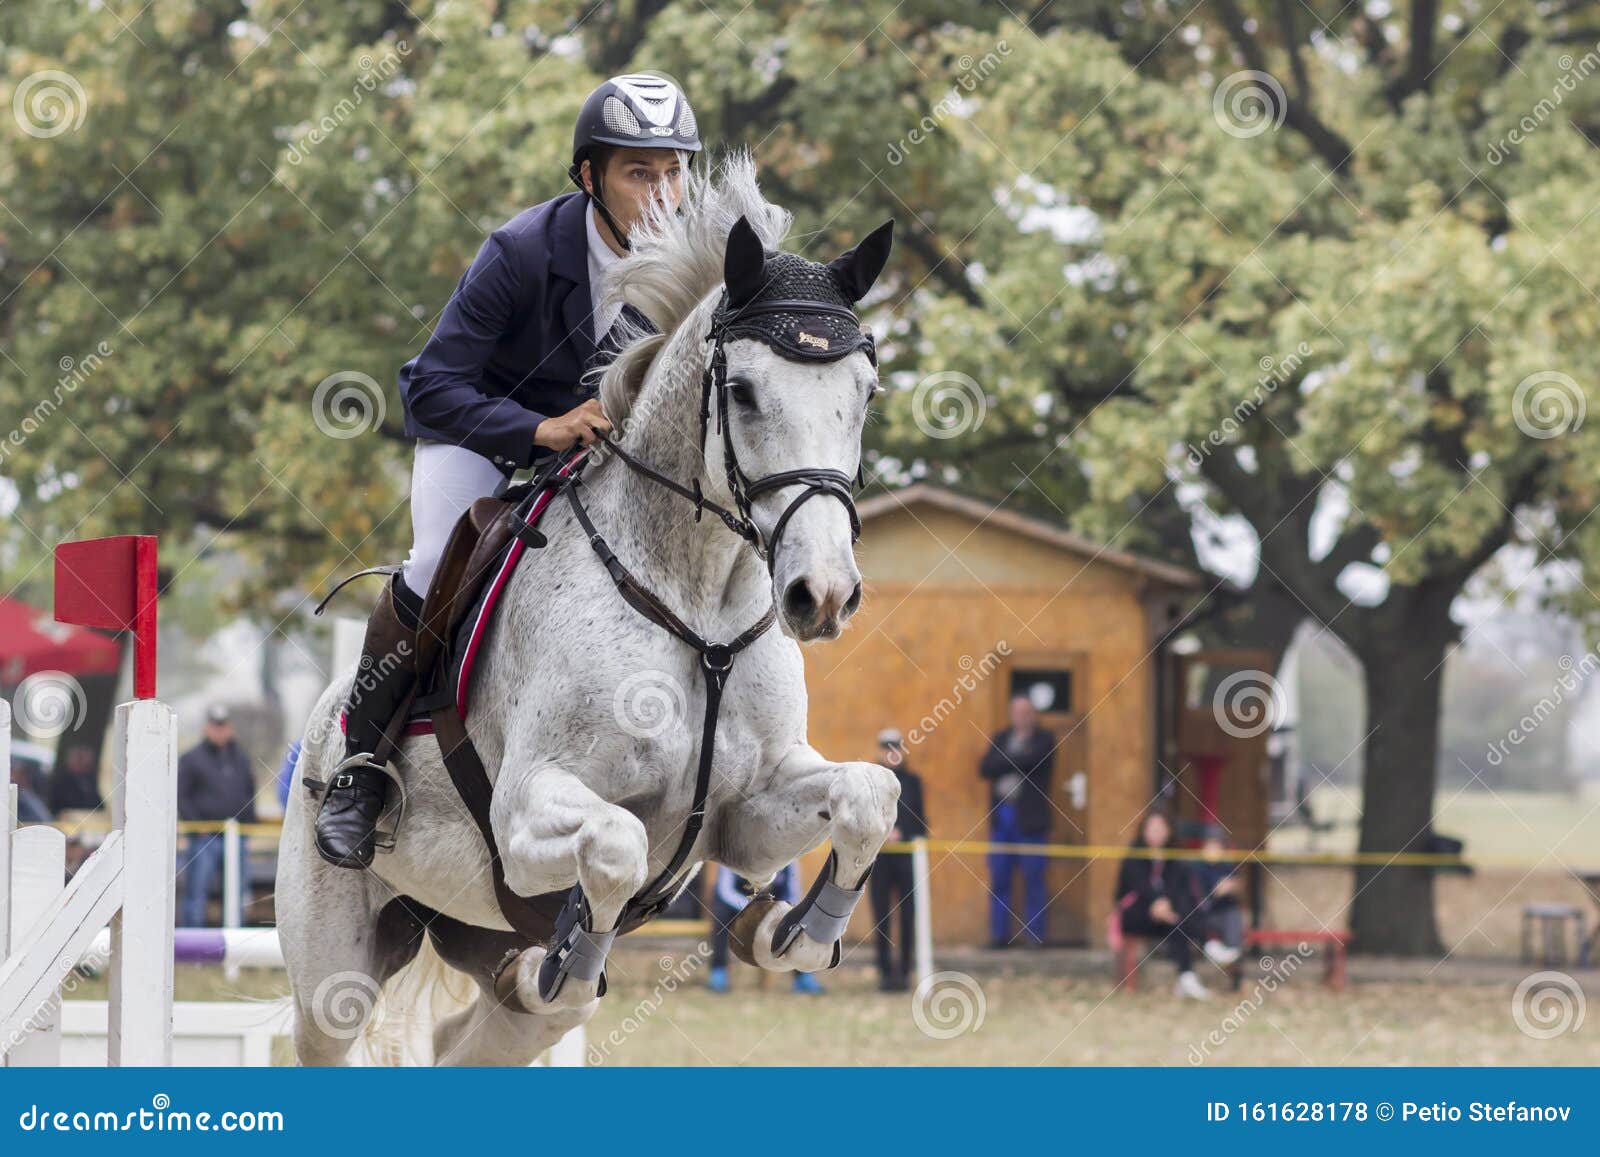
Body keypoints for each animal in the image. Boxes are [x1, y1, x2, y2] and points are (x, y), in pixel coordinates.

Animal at [276, 156, 902, 1068]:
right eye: (743, 391)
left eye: (866, 392)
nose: (820, 595)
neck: (700, 609)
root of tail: (319, 727)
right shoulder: (526, 810)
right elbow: (616, 844)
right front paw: (574, 955)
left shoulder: (749, 813)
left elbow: (870, 793)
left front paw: (788, 931)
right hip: (335, 966)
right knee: (335, 1028)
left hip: (478, 944)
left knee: (482, 1033)